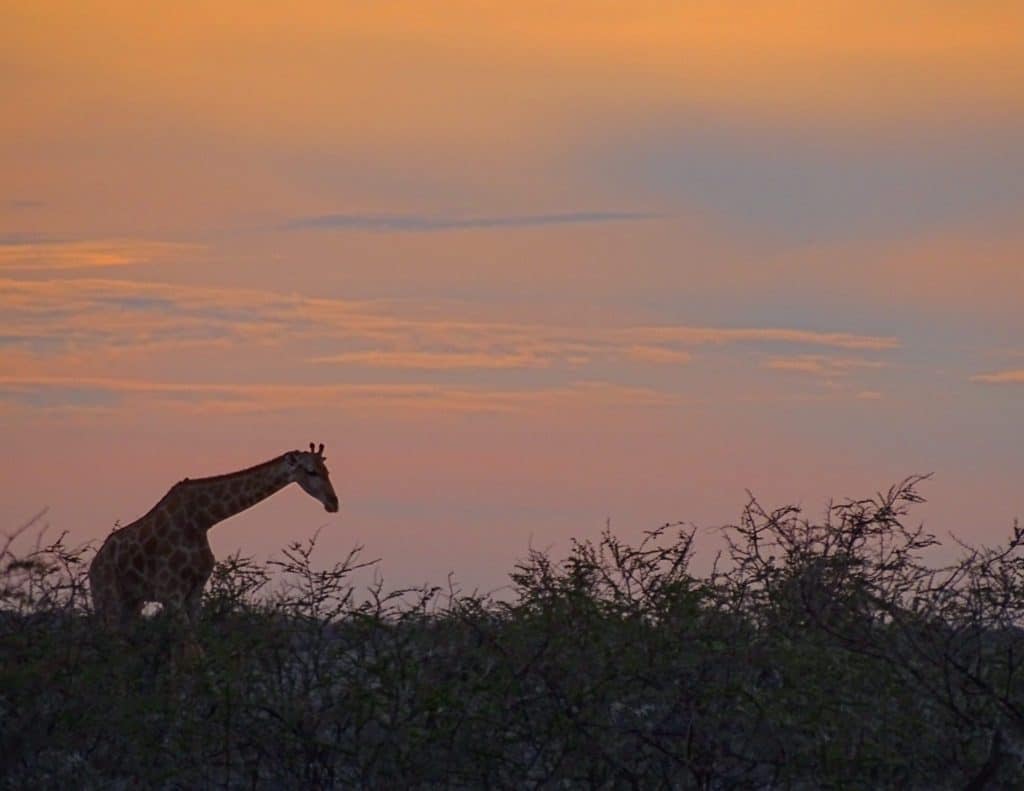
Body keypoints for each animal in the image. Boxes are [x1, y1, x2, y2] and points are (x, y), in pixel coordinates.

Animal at [90, 442, 337, 635]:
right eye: (311, 471)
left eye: (327, 470)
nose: (333, 503)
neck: (201, 520)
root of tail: (94, 565)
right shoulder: (170, 592)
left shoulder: (194, 592)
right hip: (107, 599)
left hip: (132, 602)